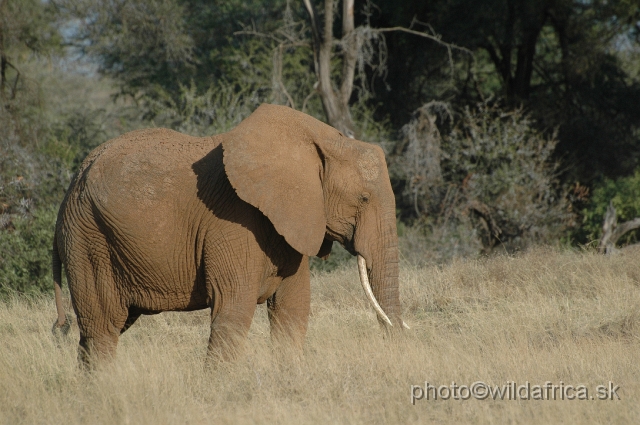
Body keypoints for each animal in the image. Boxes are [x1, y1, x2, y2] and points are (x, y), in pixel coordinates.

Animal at [52, 102, 408, 364]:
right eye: (363, 199)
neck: (320, 138)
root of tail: (74, 178)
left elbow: (292, 311)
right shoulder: (234, 221)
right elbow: (233, 310)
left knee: (97, 332)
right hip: (89, 240)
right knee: (103, 329)